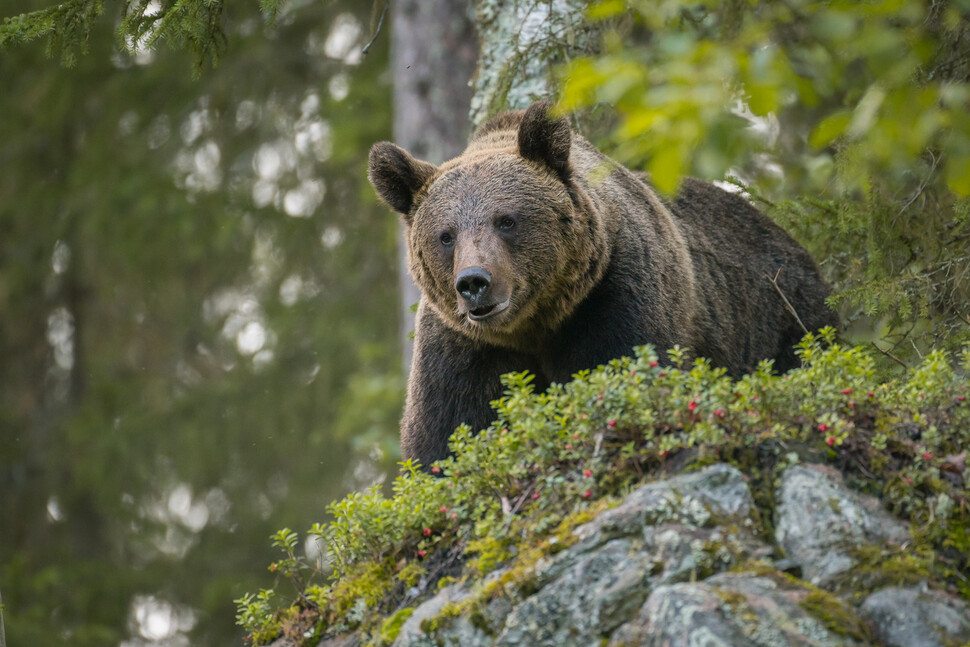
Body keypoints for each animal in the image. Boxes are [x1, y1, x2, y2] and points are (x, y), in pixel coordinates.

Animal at [366, 100, 836, 466]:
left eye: (506, 220)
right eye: (446, 235)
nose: (474, 282)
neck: (536, 324)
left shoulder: (617, 294)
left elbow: (625, 372)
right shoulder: (463, 345)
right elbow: (448, 433)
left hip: (783, 317)